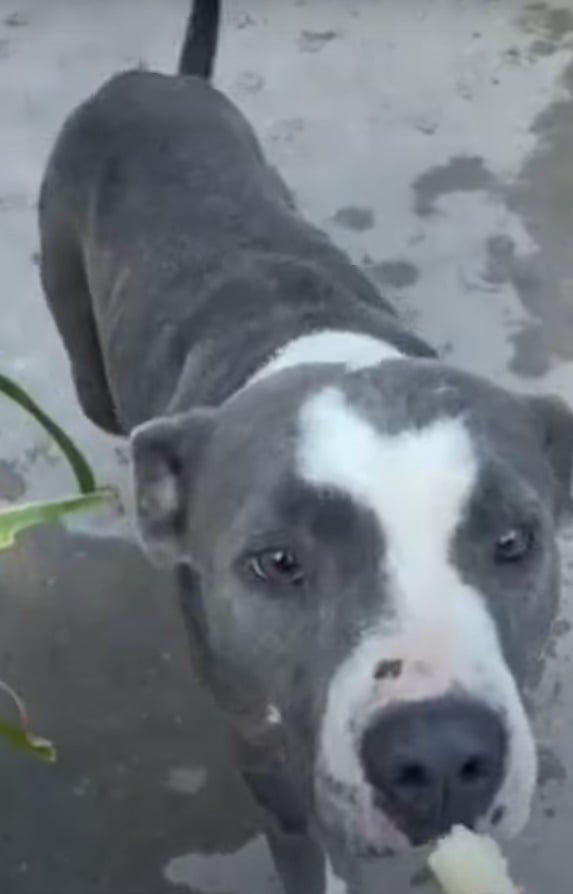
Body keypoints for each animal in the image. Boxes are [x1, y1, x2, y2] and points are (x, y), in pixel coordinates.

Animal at [38, 1, 568, 894]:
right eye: (275, 563)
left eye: (513, 541)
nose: (440, 756)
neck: (317, 343)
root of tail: (152, 80)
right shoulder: (267, 762)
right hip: (84, 360)